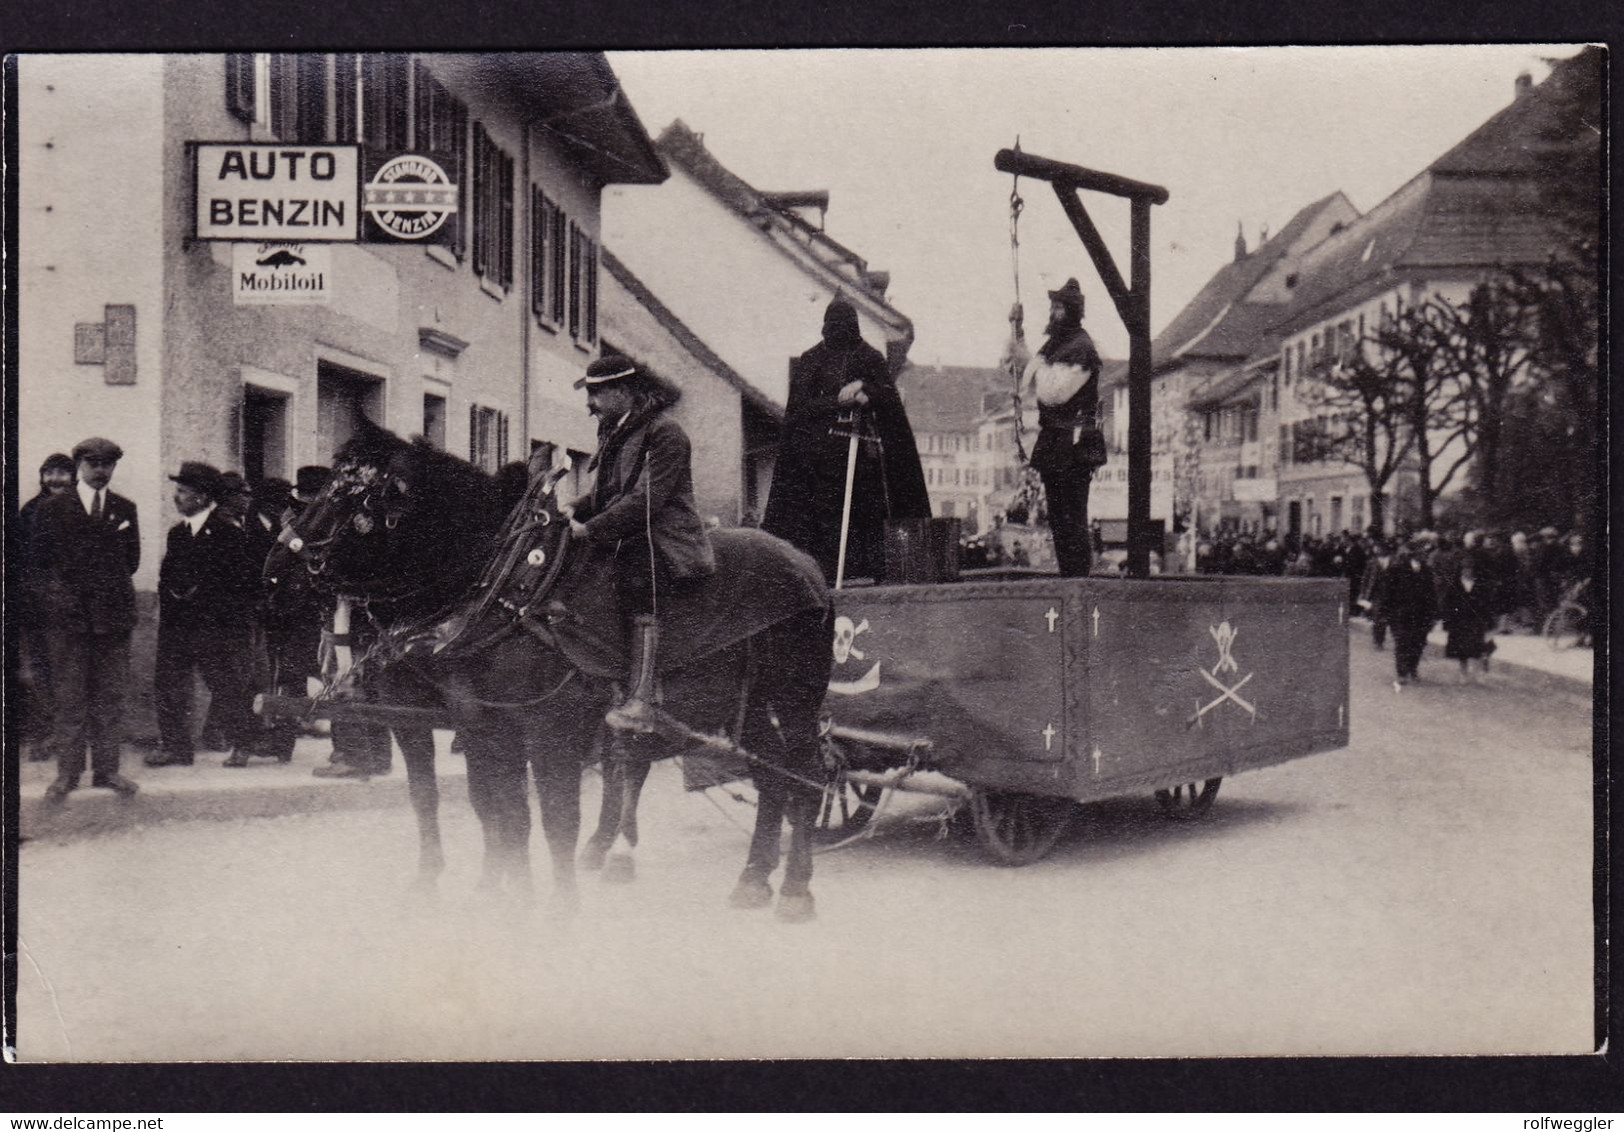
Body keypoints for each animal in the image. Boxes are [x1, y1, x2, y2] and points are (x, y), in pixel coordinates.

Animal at [271, 415, 831, 915]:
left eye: (349, 493)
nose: (276, 568)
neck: (506, 580)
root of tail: (806, 564)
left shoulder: (549, 726)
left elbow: (555, 814)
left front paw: (557, 904)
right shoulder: (481, 723)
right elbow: (497, 807)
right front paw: (505, 893)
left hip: (797, 698)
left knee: (808, 773)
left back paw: (796, 889)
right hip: (745, 703)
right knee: (771, 773)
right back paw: (753, 878)